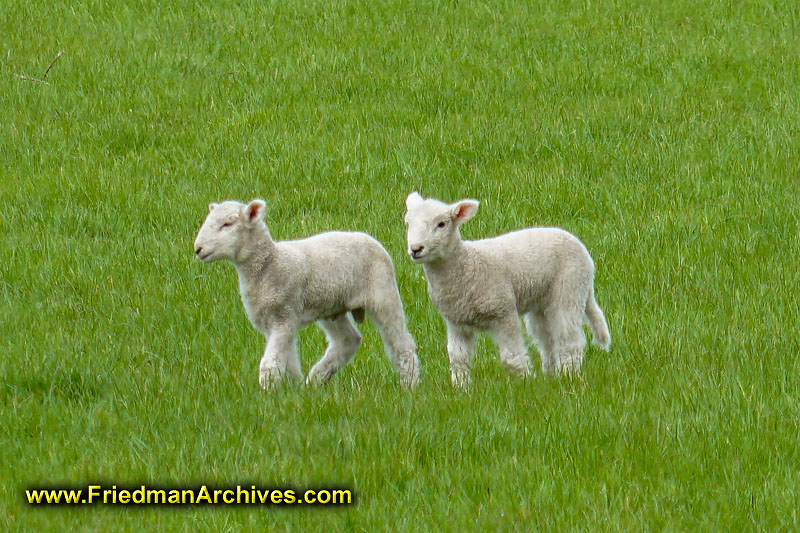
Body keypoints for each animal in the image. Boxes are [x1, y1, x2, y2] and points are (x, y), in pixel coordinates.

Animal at [404, 191, 608, 386]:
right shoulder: (456, 322)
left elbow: (512, 357)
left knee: (569, 338)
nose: (416, 249)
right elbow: (458, 358)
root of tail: (583, 250)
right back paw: (551, 375)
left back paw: (568, 374)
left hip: (570, 287)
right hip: (542, 301)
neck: (467, 265)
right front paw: (461, 388)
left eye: (441, 224)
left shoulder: (503, 312)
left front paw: (525, 382)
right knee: (546, 338)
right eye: (408, 223)